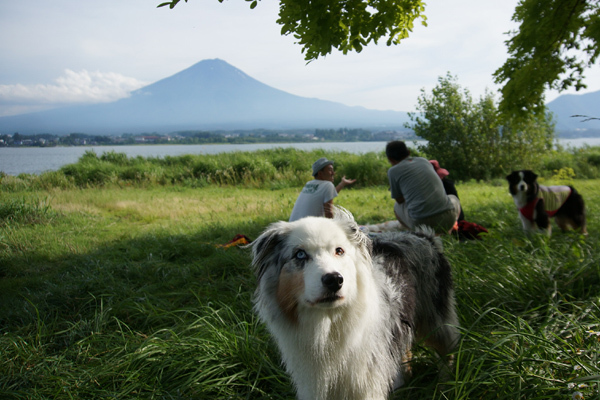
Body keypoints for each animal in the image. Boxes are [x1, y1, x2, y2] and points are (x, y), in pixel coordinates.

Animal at [248, 212, 460, 400]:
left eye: (339, 251)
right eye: (300, 254)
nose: (334, 280)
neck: (328, 322)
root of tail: (424, 236)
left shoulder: (365, 378)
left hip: (435, 316)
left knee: (447, 347)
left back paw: (445, 384)